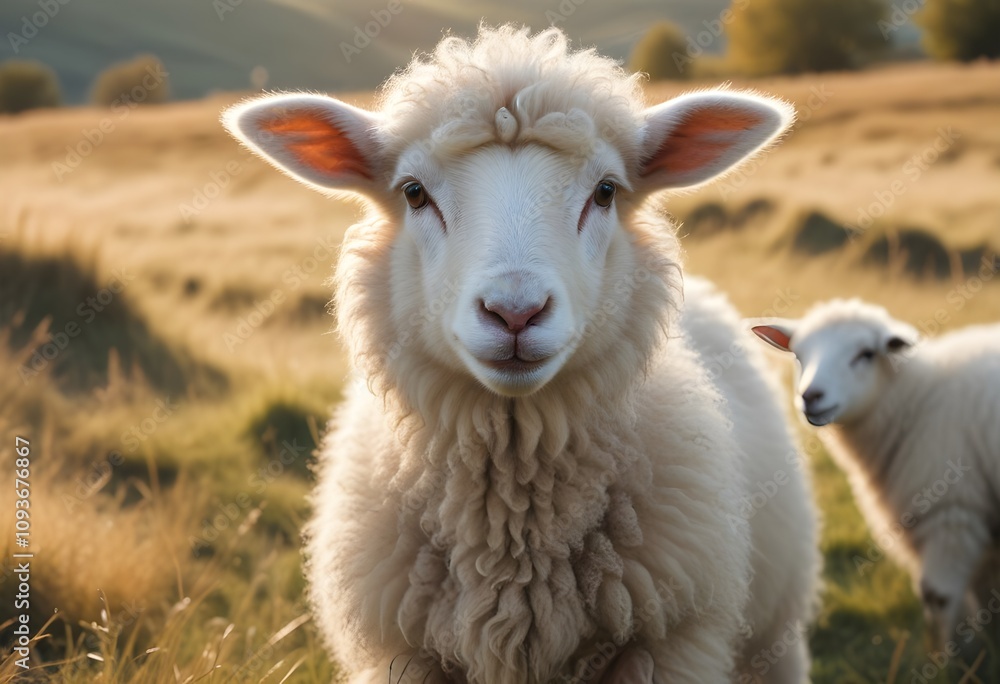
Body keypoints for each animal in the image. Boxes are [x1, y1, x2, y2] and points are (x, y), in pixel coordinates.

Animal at [223, 24, 818, 683]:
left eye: (605, 192)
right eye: (414, 193)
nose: (515, 312)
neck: (514, 530)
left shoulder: (668, 647)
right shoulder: (406, 655)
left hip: (774, 633)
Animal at [751, 298, 1000, 648]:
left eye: (866, 354)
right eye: (799, 355)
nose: (810, 397)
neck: (913, 400)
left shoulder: (951, 511)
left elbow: (938, 596)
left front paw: (948, 657)